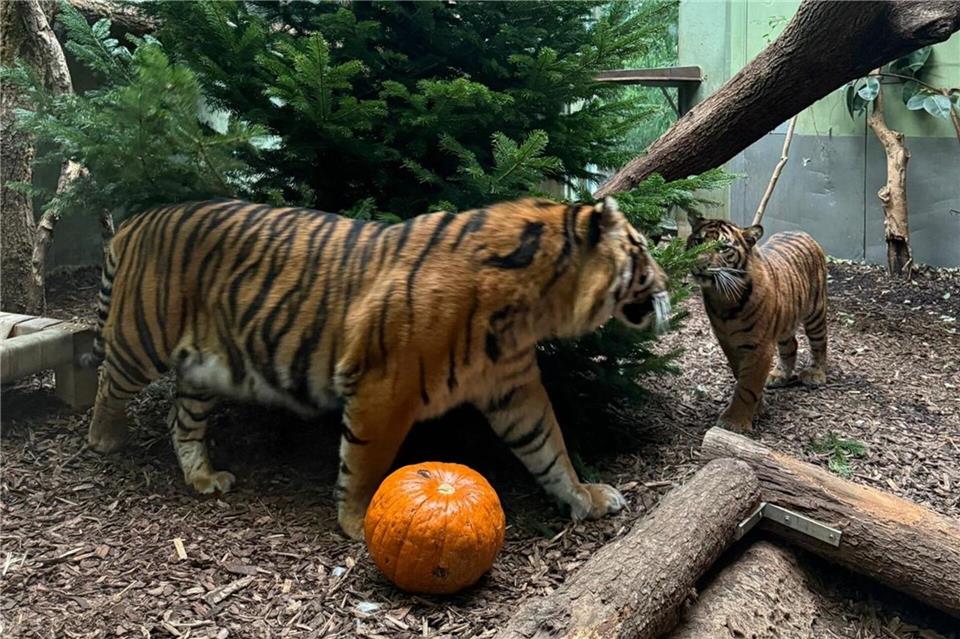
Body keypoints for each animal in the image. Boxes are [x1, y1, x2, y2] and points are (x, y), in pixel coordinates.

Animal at [83, 196, 670, 539]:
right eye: (642, 250)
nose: (668, 283)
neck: (534, 306)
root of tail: (134, 221)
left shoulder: (514, 388)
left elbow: (549, 447)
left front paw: (583, 497)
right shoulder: (384, 388)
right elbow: (366, 461)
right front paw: (358, 521)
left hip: (206, 367)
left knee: (181, 419)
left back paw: (202, 476)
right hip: (141, 338)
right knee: (108, 380)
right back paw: (104, 439)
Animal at [685, 213, 827, 433]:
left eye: (723, 247)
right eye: (698, 241)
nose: (700, 264)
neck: (723, 297)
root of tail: (800, 231)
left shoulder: (759, 346)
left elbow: (747, 385)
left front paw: (734, 421)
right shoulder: (729, 343)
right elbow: (741, 376)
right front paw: (758, 408)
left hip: (815, 313)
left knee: (820, 343)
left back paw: (816, 373)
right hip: (785, 321)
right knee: (791, 345)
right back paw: (779, 374)